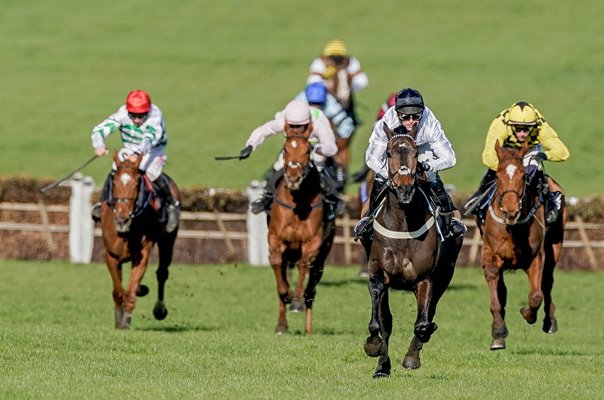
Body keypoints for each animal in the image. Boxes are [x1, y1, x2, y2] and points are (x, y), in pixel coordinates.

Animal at [268, 129, 336, 334]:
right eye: (285, 149)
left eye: (308, 150)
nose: (293, 177)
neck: (297, 205)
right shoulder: (275, 238)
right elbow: (277, 265)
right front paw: (287, 294)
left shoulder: (313, 242)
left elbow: (303, 264)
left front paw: (296, 300)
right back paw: (281, 325)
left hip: (322, 256)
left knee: (311, 289)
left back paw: (307, 327)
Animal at [360, 126, 464, 378]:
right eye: (389, 153)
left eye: (416, 153)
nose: (405, 188)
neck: (402, 223)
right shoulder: (377, 270)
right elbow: (380, 320)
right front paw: (373, 347)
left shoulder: (426, 278)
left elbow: (423, 324)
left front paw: (412, 356)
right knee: (387, 321)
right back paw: (382, 367)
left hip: (445, 275)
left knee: (428, 314)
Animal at [476, 141, 568, 350]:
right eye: (498, 175)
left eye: (523, 176)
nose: (511, 211)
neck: (513, 228)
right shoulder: (491, 253)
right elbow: (496, 291)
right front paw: (498, 332)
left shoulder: (536, 257)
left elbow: (536, 295)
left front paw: (528, 314)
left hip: (555, 245)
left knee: (547, 282)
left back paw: (549, 321)